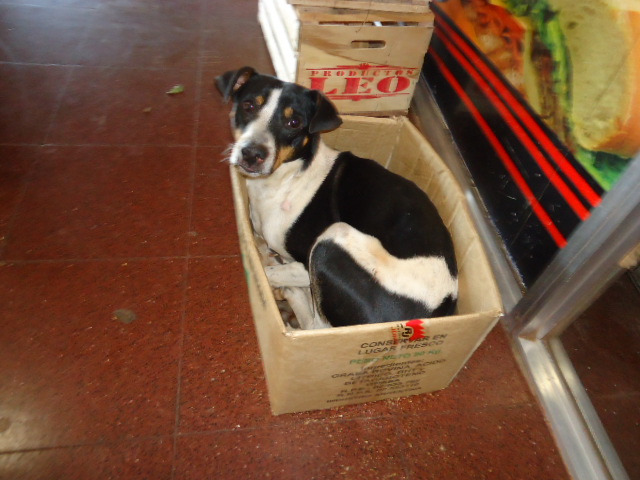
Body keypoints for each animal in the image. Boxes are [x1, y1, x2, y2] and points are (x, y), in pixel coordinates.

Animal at [216, 66, 458, 329]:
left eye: (294, 122)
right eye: (248, 106)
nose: (251, 154)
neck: (286, 178)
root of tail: (442, 309)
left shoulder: (304, 264)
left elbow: (268, 272)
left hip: (336, 236)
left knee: (313, 325)